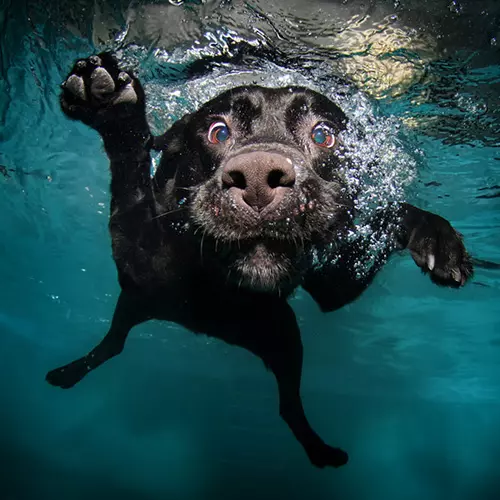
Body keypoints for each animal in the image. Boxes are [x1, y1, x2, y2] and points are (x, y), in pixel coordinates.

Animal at [46, 53, 472, 468]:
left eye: (323, 135)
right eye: (218, 132)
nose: (256, 178)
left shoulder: (335, 284)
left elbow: (390, 214)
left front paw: (436, 237)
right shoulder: (140, 255)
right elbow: (131, 183)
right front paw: (113, 109)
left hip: (283, 335)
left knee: (288, 405)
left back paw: (320, 451)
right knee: (114, 344)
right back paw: (69, 373)